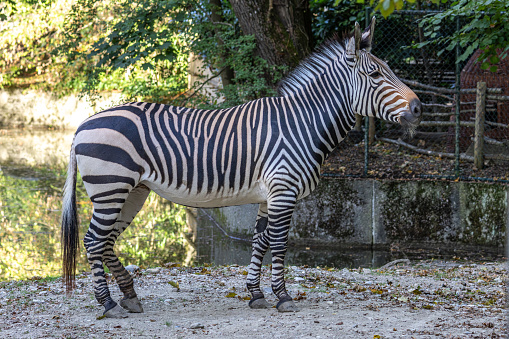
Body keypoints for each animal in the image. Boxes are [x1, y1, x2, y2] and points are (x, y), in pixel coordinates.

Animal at [62, 17, 420, 318]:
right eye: (375, 75)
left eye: (388, 69)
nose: (418, 108)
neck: (302, 124)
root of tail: (81, 126)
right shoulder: (283, 191)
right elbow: (279, 243)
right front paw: (283, 297)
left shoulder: (268, 195)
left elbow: (260, 241)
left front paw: (256, 294)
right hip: (111, 188)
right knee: (93, 241)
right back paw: (108, 304)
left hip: (133, 191)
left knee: (107, 241)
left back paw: (129, 295)